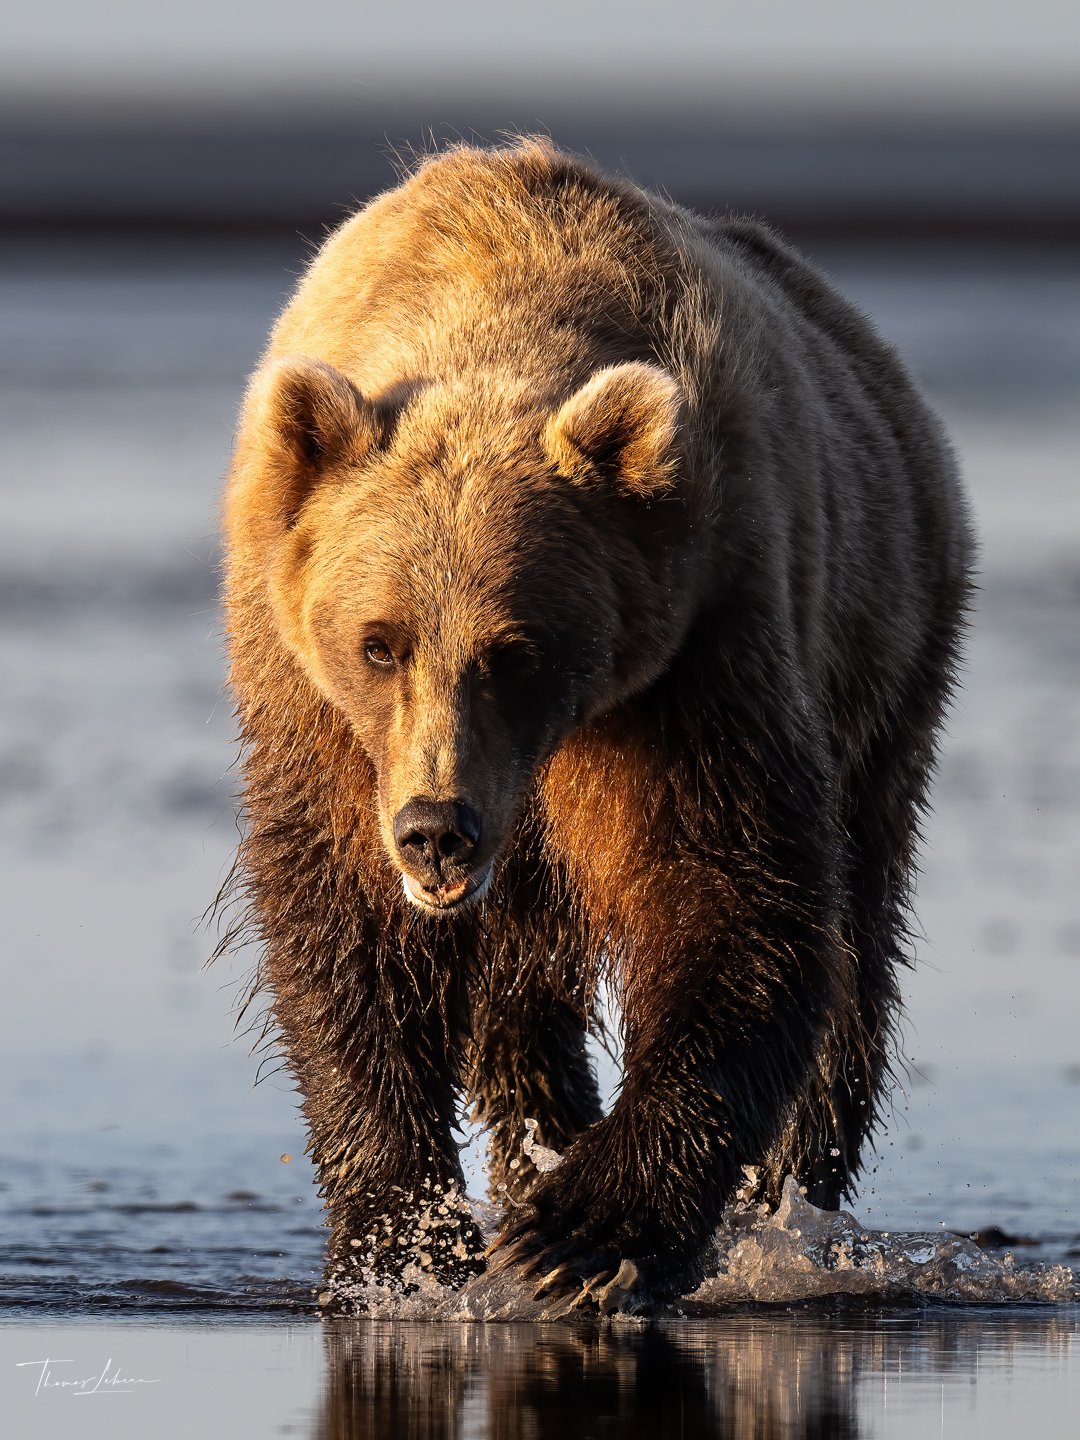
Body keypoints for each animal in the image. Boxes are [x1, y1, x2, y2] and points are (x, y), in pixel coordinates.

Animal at [220, 137, 973, 1311]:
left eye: (516, 649)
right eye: (380, 643)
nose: (436, 831)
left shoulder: (695, 648)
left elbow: (732, 901)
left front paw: (579, 1233)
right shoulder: (311, 698)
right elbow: (341, 930)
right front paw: (402, 1246)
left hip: (886, 652)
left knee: (858, 940)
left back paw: (787, 1199)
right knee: (522, 986)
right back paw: (543, 1134)